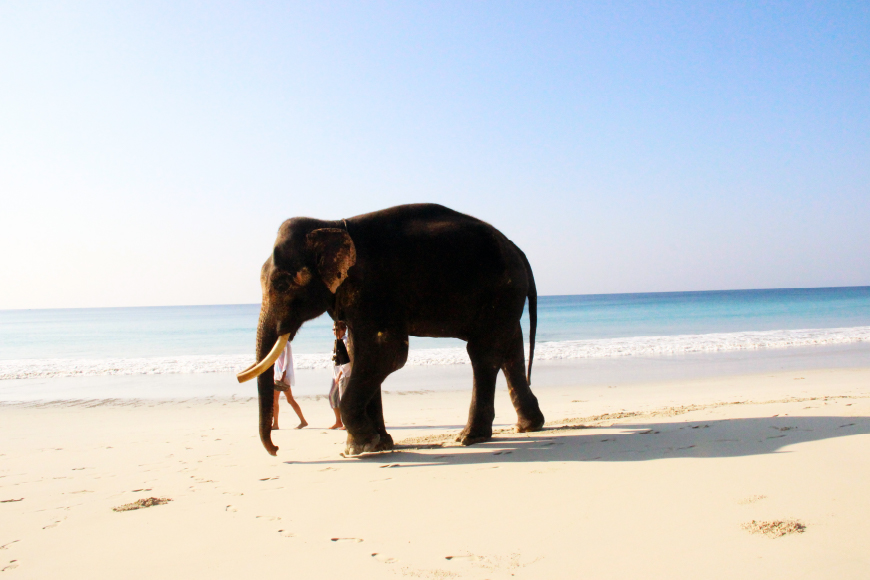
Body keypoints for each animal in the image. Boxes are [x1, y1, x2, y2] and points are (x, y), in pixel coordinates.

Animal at [237, 203, 545, 456]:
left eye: (281, 284)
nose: (276, 449)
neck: (333, 223)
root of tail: (517, 249)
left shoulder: (374, 290)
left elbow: (386, 354)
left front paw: (361, 447)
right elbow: (359, 354)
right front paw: (377, 444)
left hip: (501, 290)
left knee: (483, 353)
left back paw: (469, 438)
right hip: (506, 296)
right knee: (510, 350)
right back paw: (528, 427)